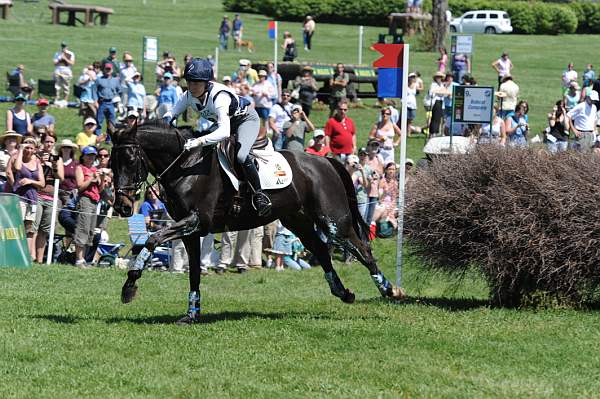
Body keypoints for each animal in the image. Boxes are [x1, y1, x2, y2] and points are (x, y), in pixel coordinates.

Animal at [110, 120, 406, 324]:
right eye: (112, 163)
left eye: (131, 160)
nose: (122, 206)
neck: (185, 166)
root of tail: (325, 162)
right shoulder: (191, 231)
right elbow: (192, 271)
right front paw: (192, 313)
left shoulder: (195, 221)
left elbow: (152, 239)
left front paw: (129, 287)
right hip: (297, 220)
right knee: (322, 251)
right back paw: (343, 293)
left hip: (333, 221)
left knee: (361, 249)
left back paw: (390, 290)